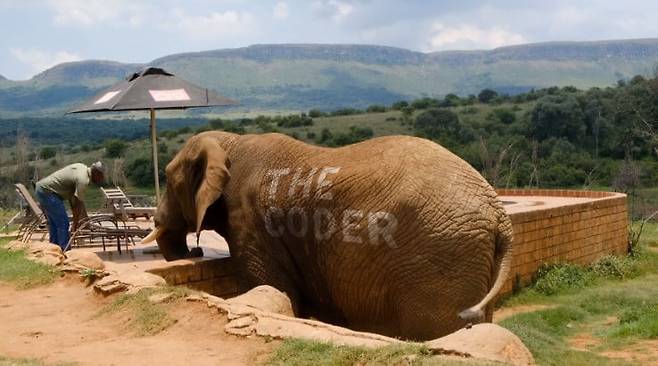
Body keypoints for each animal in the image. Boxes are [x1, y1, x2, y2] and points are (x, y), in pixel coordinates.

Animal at [144, 131, 512, 340]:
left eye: (168, 178)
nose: (195, 252)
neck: (230, 142)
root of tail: (499, 214)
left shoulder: (250, 223)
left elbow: (270, 287)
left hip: (441, 253)